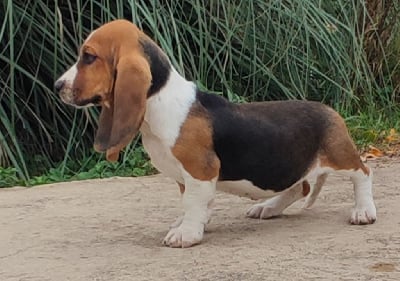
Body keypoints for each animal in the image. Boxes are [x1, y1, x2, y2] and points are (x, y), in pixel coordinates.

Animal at [54, 19, 376, 247]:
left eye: (89, 57)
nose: (57, 86)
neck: (159, 100)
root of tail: (330, 110)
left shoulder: (200, 170)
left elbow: (193, 203)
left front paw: (186, 233)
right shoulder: (186, 178)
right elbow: (192, 202)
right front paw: (190, 223)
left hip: (340, 154)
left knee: (362, 173)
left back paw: (363, 210)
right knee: (300, 188)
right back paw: (268, 207)